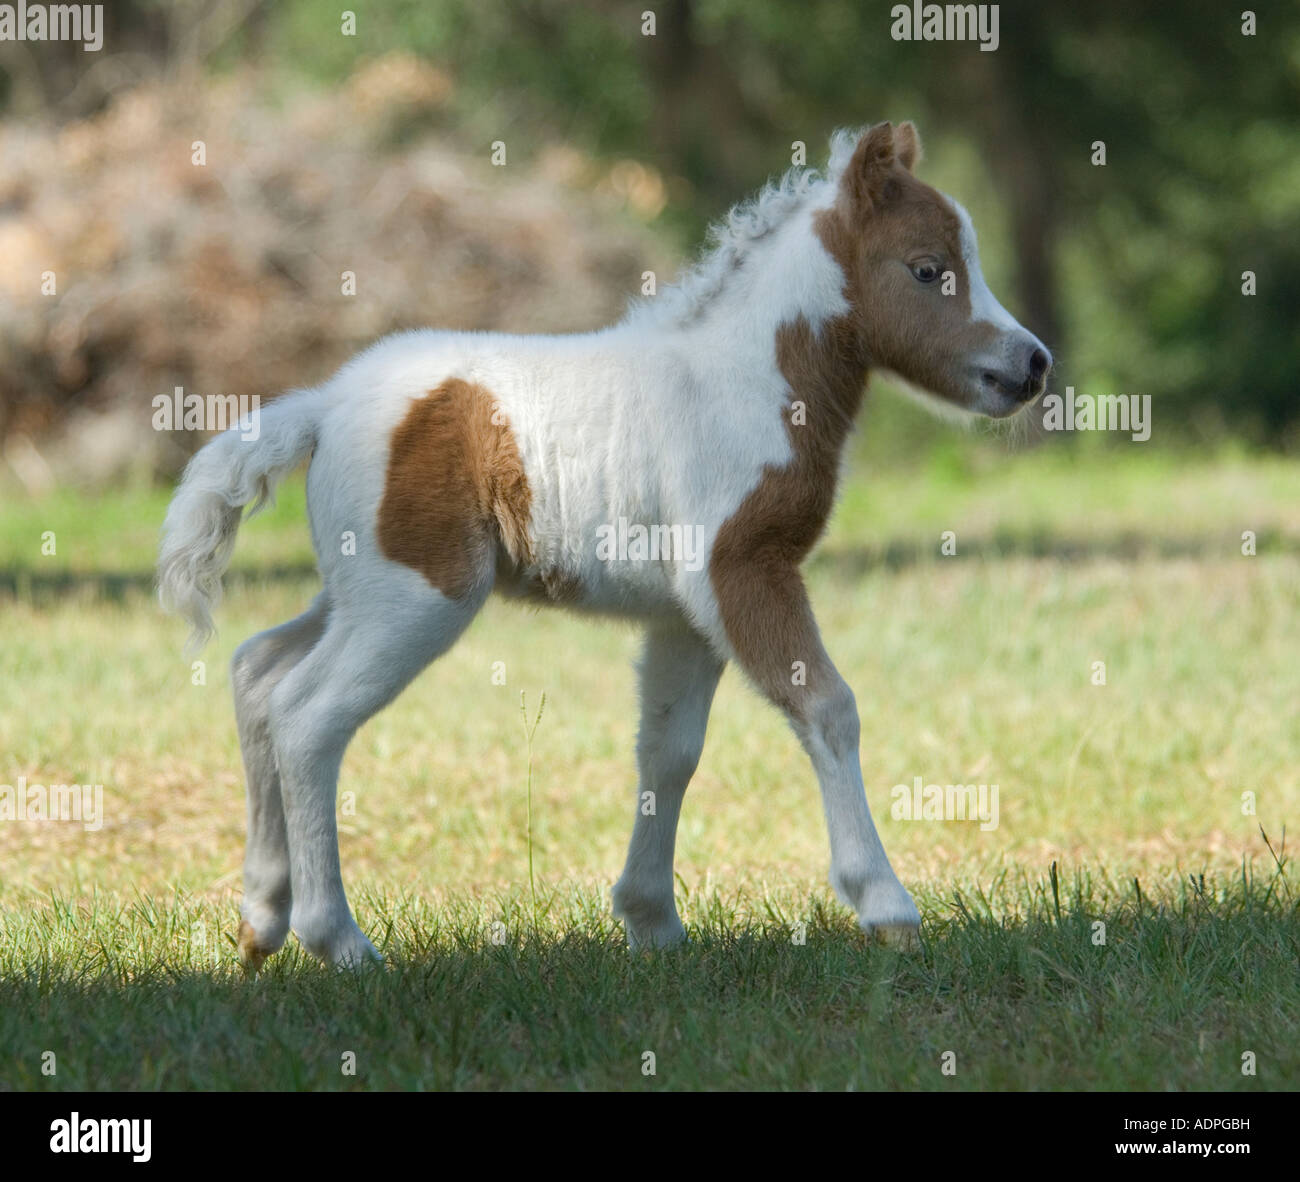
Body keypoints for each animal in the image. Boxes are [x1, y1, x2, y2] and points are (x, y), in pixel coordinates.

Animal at [158, 121, 1051, 968]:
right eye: (928, 269)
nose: (1032, 364)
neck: (748, 381)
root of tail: (324, 404)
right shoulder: (742, 571)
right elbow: (829, 709)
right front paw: (886, 905)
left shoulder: (684, 615)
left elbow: (668, 751)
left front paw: (651, 921)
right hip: (415, 599)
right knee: (307, 718)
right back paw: (337, 939)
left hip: (357, 588)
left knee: (258, 672)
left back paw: (261, 920)